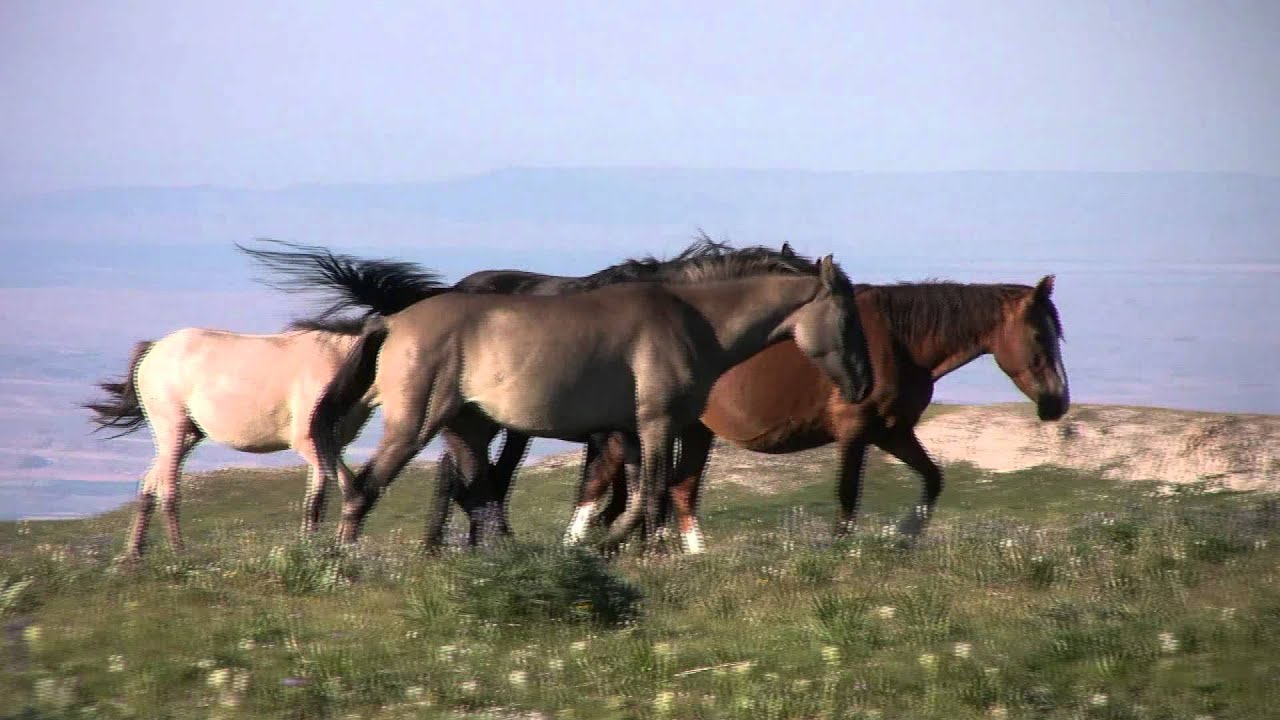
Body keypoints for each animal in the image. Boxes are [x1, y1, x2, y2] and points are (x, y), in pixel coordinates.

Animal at [82, 261, 457, 559]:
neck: (339, 361)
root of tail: (153, 350)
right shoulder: (310, 443)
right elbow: (345, 487)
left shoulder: (328, 446)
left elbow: (315, 501)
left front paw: (312, 549)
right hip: (172, 428)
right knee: (168, 489)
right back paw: (178, 554)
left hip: (187, 434)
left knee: (148, 484)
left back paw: (133, 557)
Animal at [237, 236, 863, 547]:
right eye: (846, 315)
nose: (863, 382)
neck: (689, 316)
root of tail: (393, 320)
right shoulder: (651, 424)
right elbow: (647, 493)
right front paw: (620, 547)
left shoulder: (634, 431)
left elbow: (639, 493)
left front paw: (621, 546)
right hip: (423, 424)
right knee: (379, 489)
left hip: (468, 425)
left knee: (477, 491)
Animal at [567, 276, 1070, 553]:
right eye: (1039, 335)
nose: (1057, 402)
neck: (897, 342)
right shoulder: (856, 432)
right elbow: (847, 496)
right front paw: (843, 551)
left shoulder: (893, 432)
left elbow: (933, 479)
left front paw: (905, 536)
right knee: (604, 486)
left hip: (693, 432)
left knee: (679, 491)